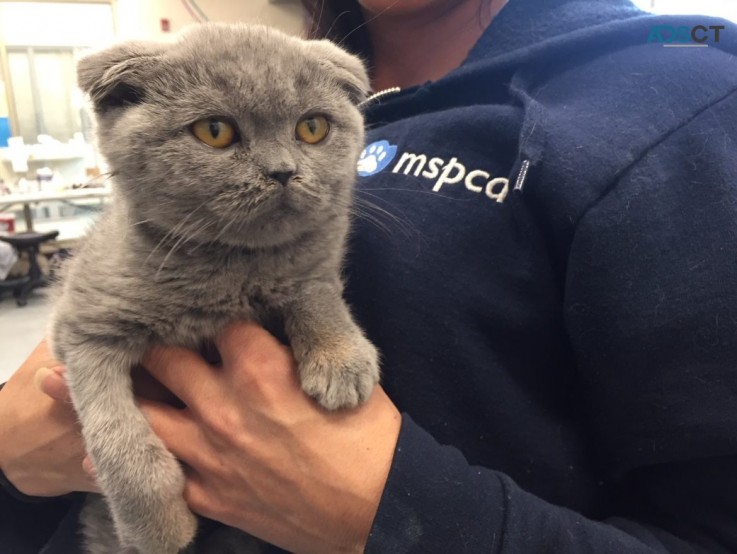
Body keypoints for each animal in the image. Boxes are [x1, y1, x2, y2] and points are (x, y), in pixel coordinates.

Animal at [49, 22, 380, 552]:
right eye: (215, 131)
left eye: (312, 127)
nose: (283, 171)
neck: (229, 271)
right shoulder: (81, 330)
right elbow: (117, 440)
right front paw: (159, 526)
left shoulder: (314, 262)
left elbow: (315, 284)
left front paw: (340, 356)